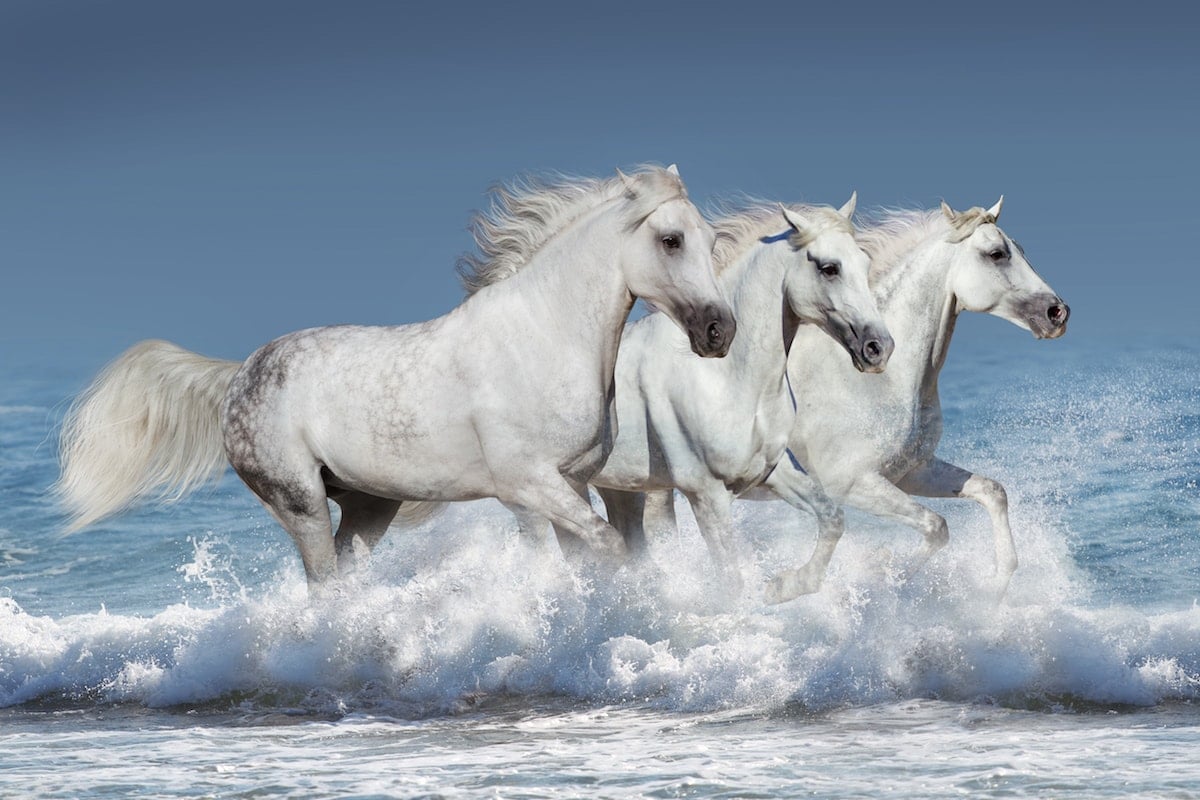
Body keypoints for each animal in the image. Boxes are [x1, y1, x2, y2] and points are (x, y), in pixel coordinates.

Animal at [56, 165, 734, 587]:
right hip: (299, 502)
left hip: (367, 506)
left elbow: (600, 556)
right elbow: (606, 549)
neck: (542, 338)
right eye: (671, 240)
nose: (719, 331)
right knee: (325, 588)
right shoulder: (529, 485)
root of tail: (240, 374)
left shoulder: (569, 483)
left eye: (710, 239)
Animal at [511, 196, 897, 592]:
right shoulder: (706, 493)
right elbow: (731, 579)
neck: (728, 378)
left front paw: (783, 586)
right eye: (829, 268)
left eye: (864, 262)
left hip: (618, 489)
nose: (878, 348)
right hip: (537, 493)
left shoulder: (770, 473)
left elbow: (833, 519)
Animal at [748, 196, 1070, 604]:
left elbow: (992, 492)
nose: (1058, 313)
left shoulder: (913, 472)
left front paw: (994, 590)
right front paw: (880, 574)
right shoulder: (852, 484)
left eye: (1021, 250)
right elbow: (936, 526)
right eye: (997, 254)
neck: (876, 380)